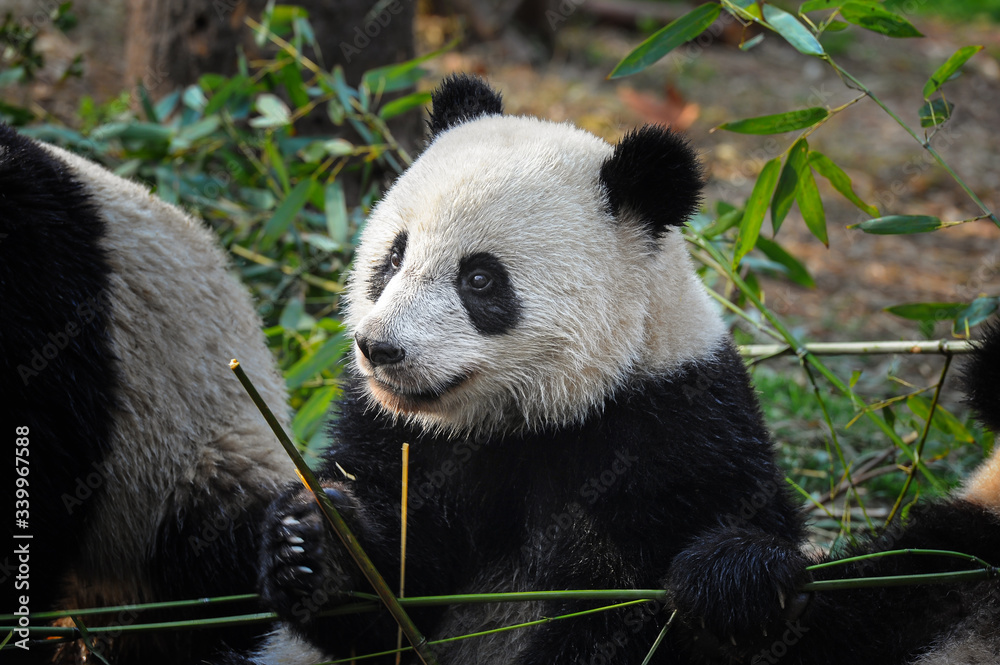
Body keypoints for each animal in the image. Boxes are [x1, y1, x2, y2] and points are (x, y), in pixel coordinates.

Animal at [234, 73, 811, 665]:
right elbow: (392, 599)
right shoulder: (399, 434)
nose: (379, 348)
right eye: (394, 257)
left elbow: (632, 602)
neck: (526, 421)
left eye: (480, 279)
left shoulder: (677, 430)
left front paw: (733, 586)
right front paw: (312, 541)